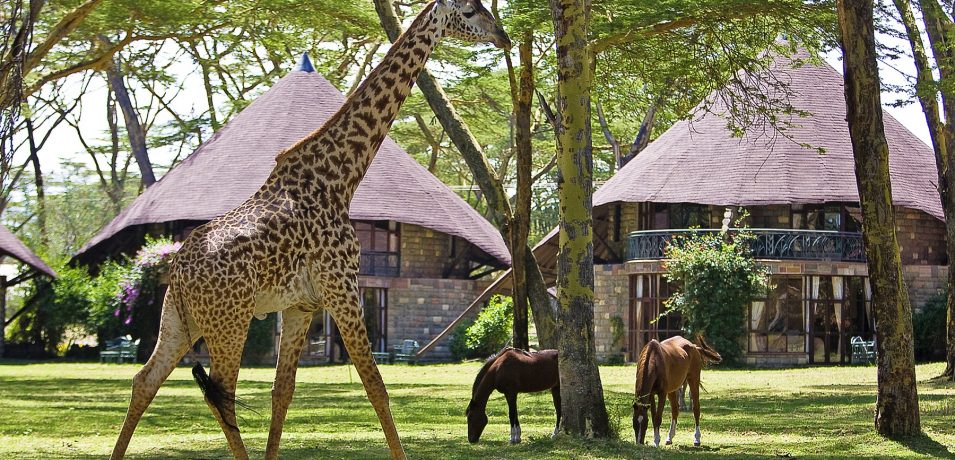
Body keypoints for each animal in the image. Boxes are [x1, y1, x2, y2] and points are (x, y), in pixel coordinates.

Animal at [108, 1, 512, 458]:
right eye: (471, 11)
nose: (504, 37)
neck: (340, 178)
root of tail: (176, 272)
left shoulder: (301, 305)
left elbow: (282, 392)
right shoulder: (342, 285)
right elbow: (375, 385)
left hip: (179, 320)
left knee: (145, 381)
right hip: (229, 320)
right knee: (221, 394)